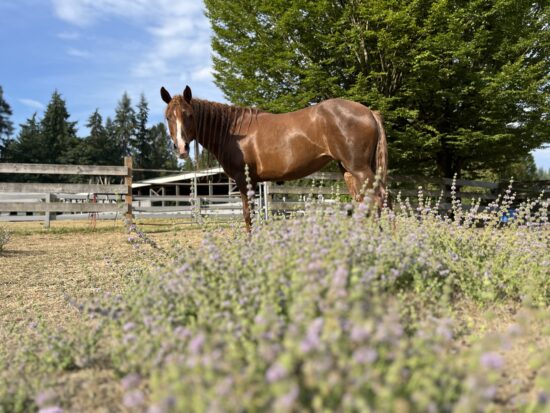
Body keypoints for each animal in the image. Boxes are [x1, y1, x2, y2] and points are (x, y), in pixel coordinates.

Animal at [160, 85, 388, 231]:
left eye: (189, 115)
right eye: (168, 117)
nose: (181, 148)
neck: (232, 131)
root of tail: (369, 112)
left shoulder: (244, 180)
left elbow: (249, 215)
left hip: (359, 169)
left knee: (377, 199)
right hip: (349, 169)